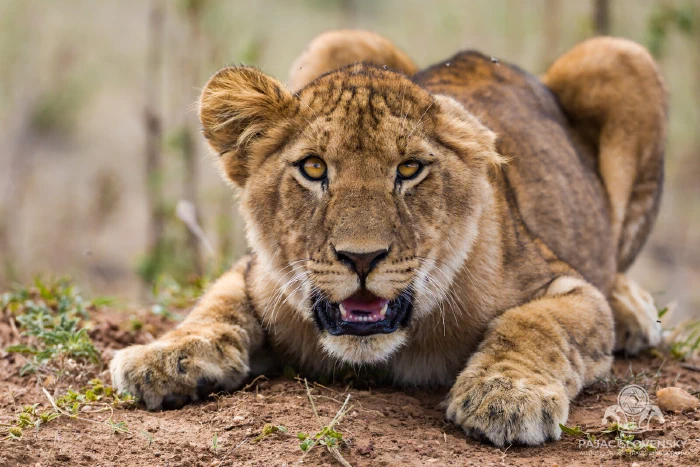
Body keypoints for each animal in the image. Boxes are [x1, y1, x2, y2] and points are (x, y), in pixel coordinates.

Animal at [110, 30, 666, 446]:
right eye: (314, 168)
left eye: (409, 169)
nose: (362, 258)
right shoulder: (257, 273)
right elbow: (216, 305)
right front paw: (163, 357)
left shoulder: (567, 285)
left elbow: (536, 324)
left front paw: (505, 394)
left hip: (623, 56)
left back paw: (634, 313)